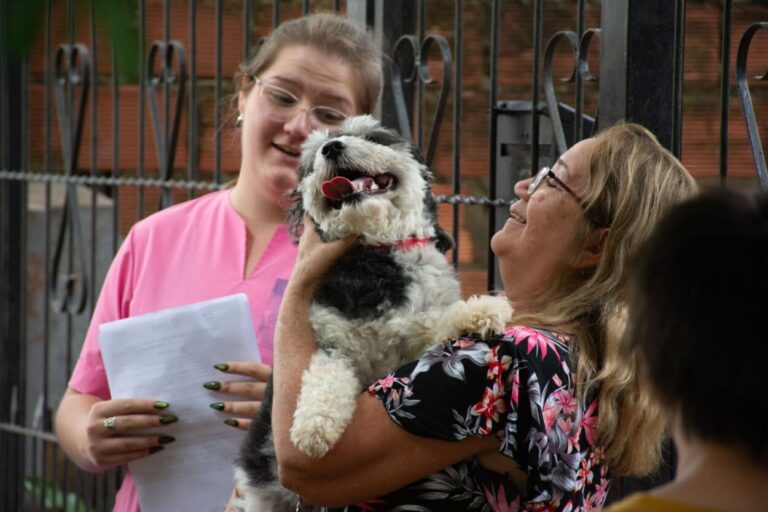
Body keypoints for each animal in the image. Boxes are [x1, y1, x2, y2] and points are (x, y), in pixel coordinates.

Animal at [234, 116, 510, 512]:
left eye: (371, 136)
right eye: (313, 157)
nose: (332, 147)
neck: (378, 256)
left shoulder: (412, 347)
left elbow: (435, 322)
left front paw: (480, 310)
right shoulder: (333, 342)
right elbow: (325, 379)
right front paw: (314, 427)